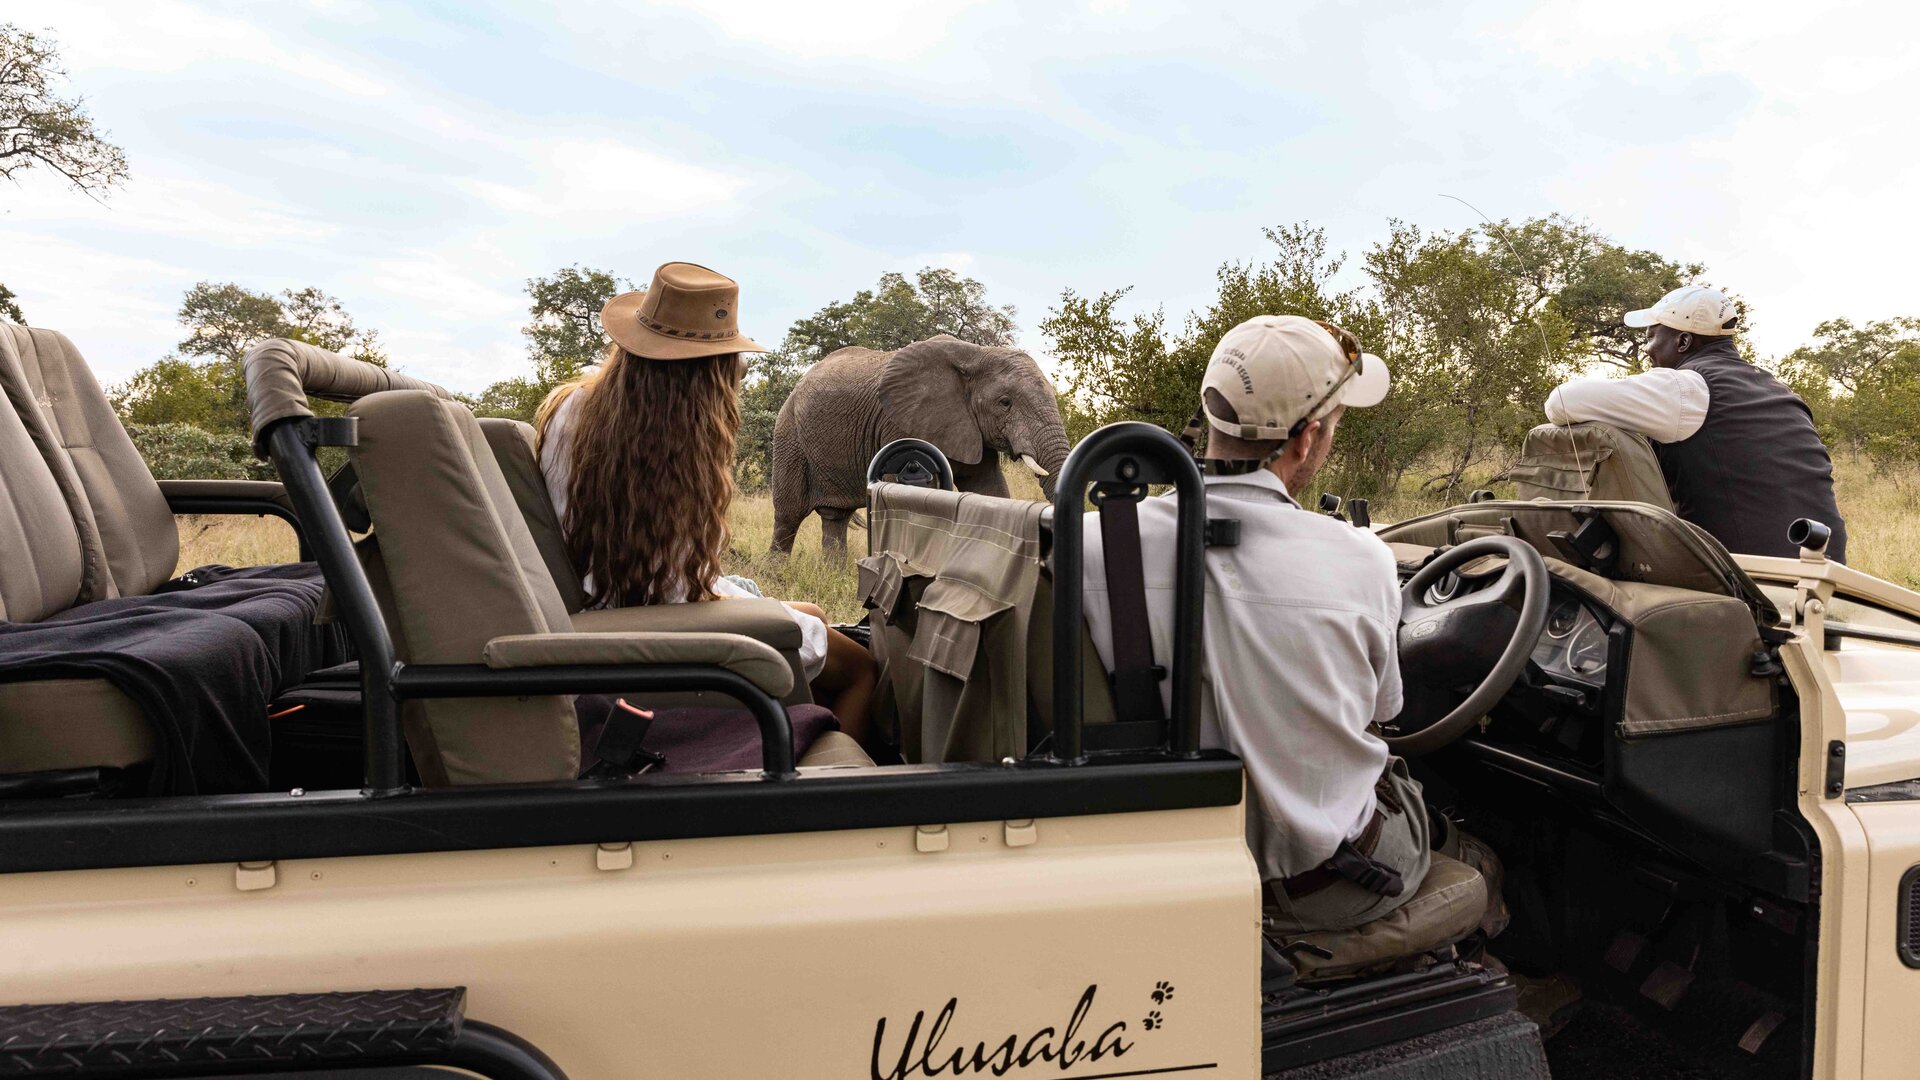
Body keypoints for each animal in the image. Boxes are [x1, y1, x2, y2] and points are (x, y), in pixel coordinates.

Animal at [771, 334, 1075, 553]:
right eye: (1005, 403)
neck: (977, 354)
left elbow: (990, 489)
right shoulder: (901, 423)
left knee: (835, 517)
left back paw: (834, 575)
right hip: (789, 433)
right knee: (788, 516)